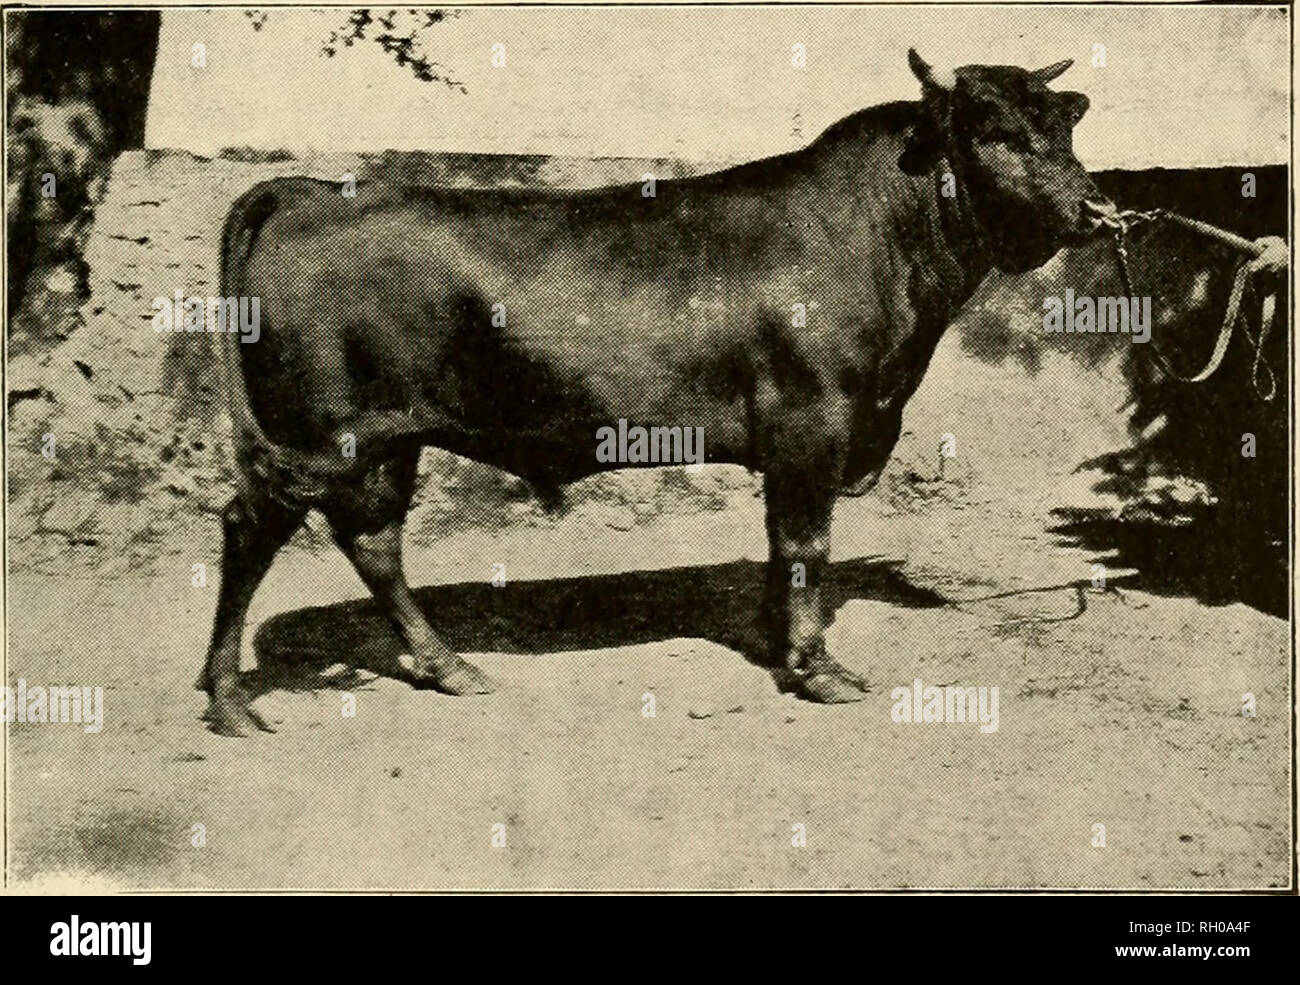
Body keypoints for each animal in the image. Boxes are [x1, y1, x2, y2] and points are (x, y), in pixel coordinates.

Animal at [201, 49, 1116, 735]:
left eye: (1065, 123)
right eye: (994, 131)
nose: (1095, 210)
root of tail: (314, 190)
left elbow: (781, 549)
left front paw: (779, 644)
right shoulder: (813, 422)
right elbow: (806, 546)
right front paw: (817, 668)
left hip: (389, 438)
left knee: (374, 541)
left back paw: (449, 666)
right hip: (317, 437)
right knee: (252, 529)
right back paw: (230, 699)